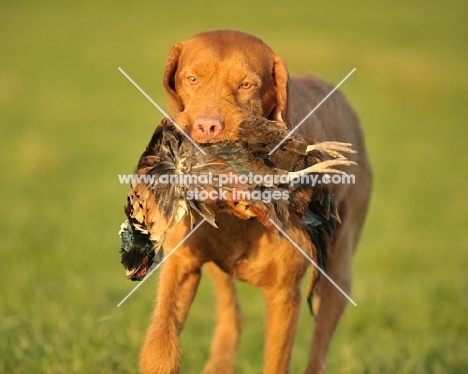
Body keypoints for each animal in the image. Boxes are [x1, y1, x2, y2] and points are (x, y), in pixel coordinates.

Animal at [140, 30, 372, 374]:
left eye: (246, 85)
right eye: (192, 79)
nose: (207, 126)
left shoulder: (284, 295)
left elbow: (277, 362)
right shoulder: (181, 266)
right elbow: (161, 346)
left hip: (339, 270)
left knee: (319, 346)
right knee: (231, 315)